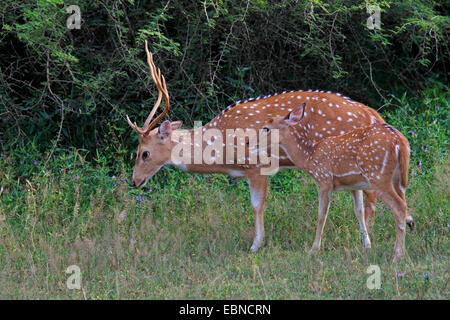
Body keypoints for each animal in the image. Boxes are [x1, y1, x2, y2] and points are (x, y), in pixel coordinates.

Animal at [127, 42, 390, 252]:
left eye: (145, 153)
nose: (135, 181)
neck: (223, 150)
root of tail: (372, 114)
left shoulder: (256, 165)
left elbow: (257, 205)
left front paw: (256, 245)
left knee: (371, 197)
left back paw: (368, 241)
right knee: (360, 200)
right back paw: (364, 241)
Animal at [264, 103, 414, 262]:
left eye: (266, 128)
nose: (252, 141)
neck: (309, 158)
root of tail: (400, 141)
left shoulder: (324, 180)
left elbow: (321, 214)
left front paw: (313, 249)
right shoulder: (355, 185)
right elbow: (359, 212)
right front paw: (366, 246)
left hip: (378, 176)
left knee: (399, 206)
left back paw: (397, 256)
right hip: (399, 180)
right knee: (402, 204)